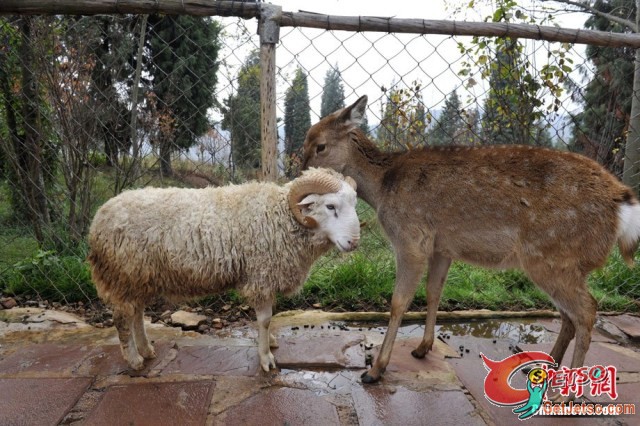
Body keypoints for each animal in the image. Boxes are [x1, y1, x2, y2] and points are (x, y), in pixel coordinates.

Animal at [88, 168, 360, 372]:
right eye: (330, 206)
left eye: (354, 204)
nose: (354, 242)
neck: (281, 217)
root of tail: (99, 218)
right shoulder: (260, 276)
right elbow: (265, 320)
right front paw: (266, 357)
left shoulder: (268, 276)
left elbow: (270, 318)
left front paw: (270, 342)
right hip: (123, 275)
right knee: (122, 317)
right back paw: (134, 360)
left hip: (139, 277)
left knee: (136, 314)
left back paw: (146, 350)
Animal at [302, 95, 640, 382]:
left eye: (320, 146)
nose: (302, 175)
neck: (384, 186)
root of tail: (621, 202)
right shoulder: (442, 247)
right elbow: (434, 292)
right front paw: (422, 347)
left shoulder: (411, 238)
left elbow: (399, 302)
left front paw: (376, 369)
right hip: (562, 263)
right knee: (569, 316)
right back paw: (545, 369)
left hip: (553, 256)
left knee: (586, 311)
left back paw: (563, 394)